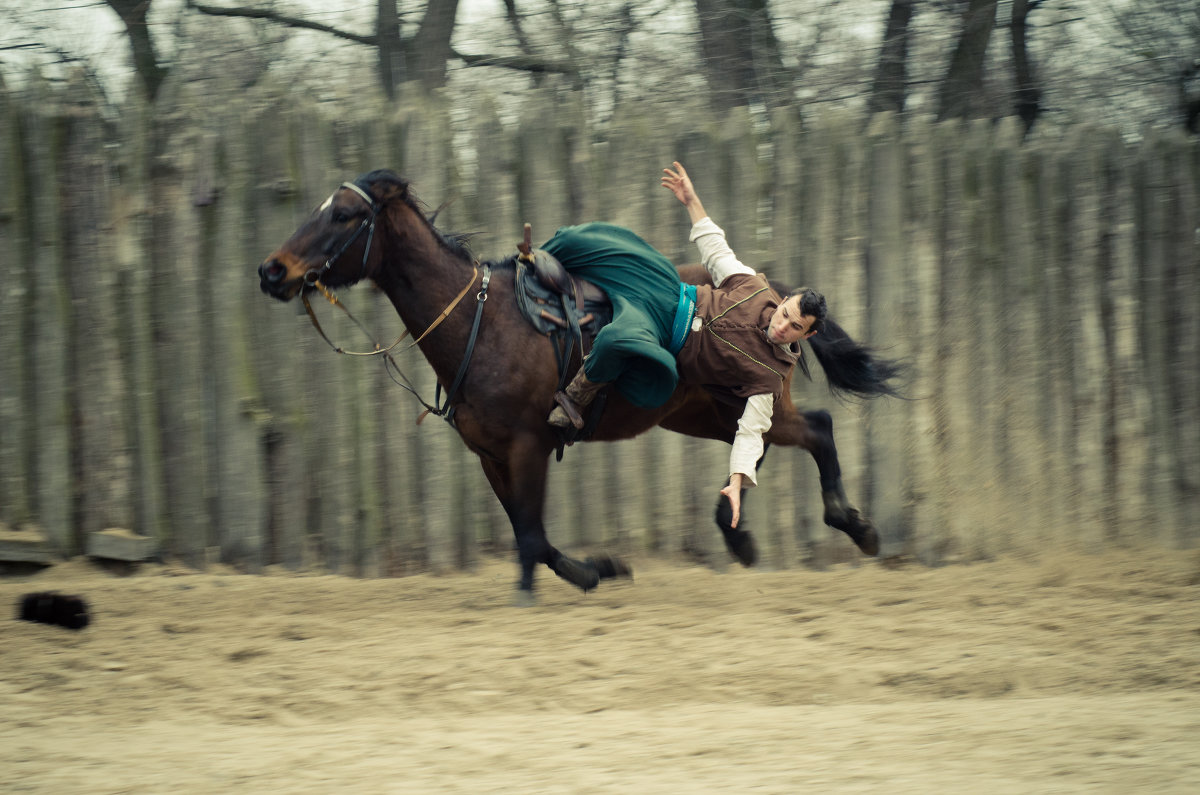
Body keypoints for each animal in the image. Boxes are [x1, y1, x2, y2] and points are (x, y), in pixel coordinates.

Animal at [260, 169, 902, 605]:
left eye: (344, 215)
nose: (272, 271)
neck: (482, 322)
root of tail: (767, 291)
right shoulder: (490, 454)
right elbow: (532, 534)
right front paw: (599, 570)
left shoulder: (528, 446)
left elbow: (530, 536)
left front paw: (545, 589)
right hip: (707, 410)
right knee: (760, 449)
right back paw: (739, 532)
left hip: (749, 398)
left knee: (815, 428)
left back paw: (858, 529)